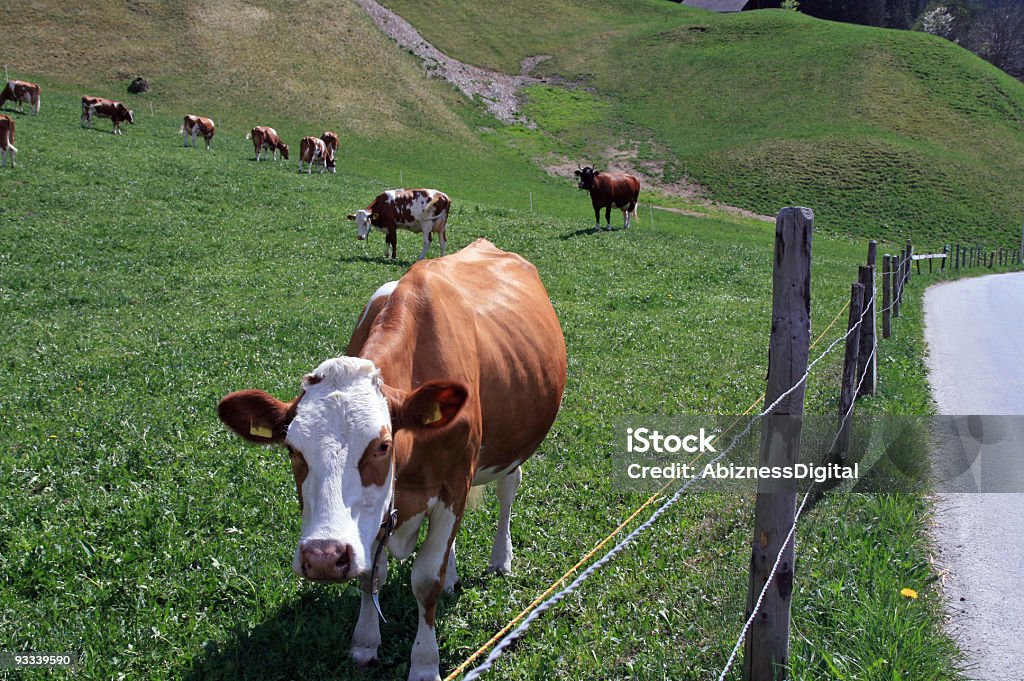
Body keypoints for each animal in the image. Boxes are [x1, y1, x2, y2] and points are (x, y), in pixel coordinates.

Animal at [218, 237, 569, 679]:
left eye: (382, 445)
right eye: (293, 449)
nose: (323, 557)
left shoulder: (454, 483)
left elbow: (425, 579)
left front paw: (424, 663)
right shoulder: (378, 513)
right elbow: (372, 573)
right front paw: (365, 642)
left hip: (512, 444)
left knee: (508, 488)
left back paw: (500, 559)